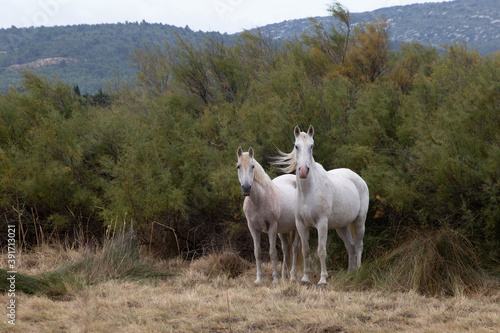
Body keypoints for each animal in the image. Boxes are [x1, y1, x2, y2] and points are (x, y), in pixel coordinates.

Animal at [237, 147, 300, 282]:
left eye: (253, 166)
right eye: (238, 166)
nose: (246, 188)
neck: (259, 199)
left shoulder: (272, 227)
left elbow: (272, 253)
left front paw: (275, 279)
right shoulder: (253, 228)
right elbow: (257, 253)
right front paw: (258, 279)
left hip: (297, 227)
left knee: (295, 248)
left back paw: (292, 277)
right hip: (282, 230)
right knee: (285, 248)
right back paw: (284, 276)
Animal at [274, 126, 368, 284]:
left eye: (311, 146)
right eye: (296, 146)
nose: (303, 171)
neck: (308, 191)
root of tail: (358, 178)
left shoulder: (322, 224)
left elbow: (321, 250)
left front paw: (323, 280)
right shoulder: (301, 224)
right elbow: (305, 250)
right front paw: (305, 279)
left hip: (359, 221)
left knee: (359, 245)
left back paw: (359, 271)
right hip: (341, 226)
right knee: (350, 246)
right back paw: (351, 272)